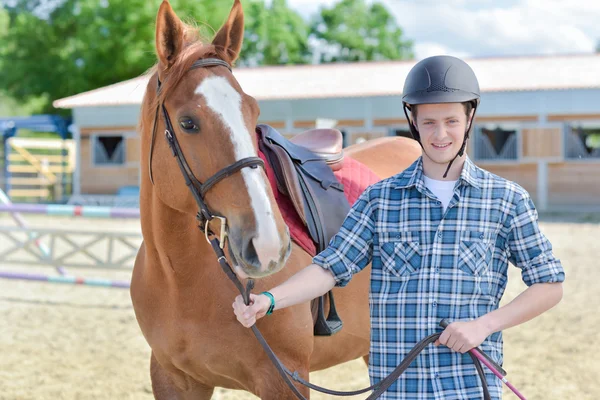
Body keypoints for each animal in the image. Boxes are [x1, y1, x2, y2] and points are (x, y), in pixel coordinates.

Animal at [131, 1, 422, 398]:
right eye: (188, 122)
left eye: (253, 111)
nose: (267, 244)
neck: (181, 279)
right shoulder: (173, 378)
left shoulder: (285, 379)